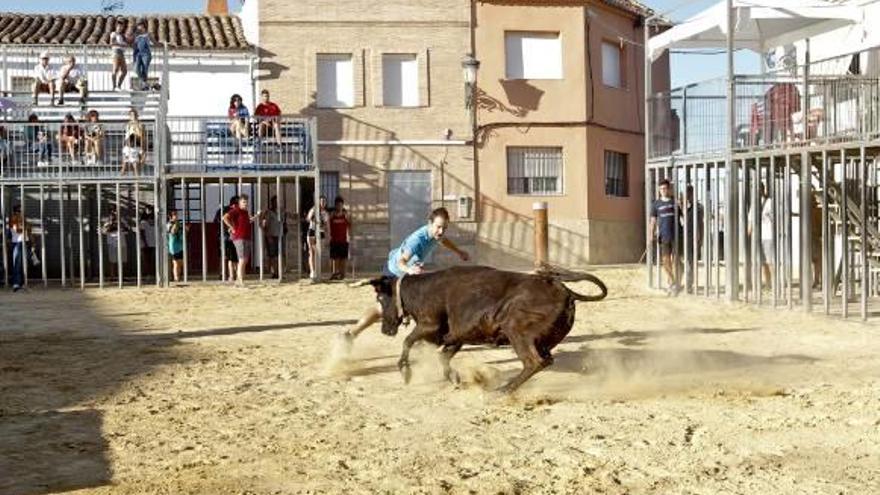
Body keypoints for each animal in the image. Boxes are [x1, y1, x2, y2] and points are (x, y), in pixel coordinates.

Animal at [366, 266, 604, 394]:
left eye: (380, 298)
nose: (385, 330)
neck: (420, 290)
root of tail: (565, 291)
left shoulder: (429, 325)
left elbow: (408, 341)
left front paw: (405, 372)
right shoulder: (456, 337)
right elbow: (443, 356)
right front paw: (454, 378)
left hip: (517, 331)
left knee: (534, 362)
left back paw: (504, 389)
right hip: (541, 340)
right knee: (545, 360)